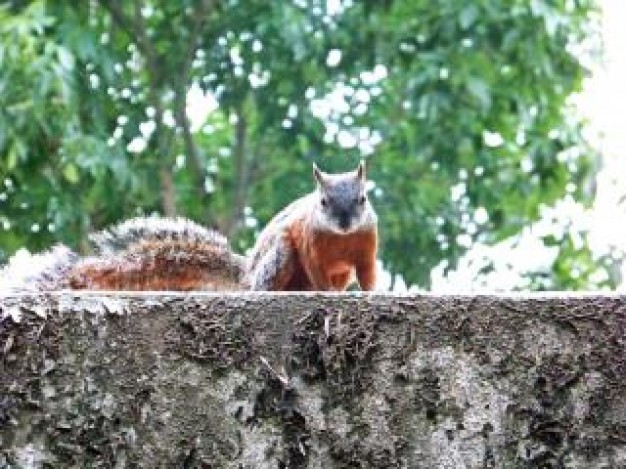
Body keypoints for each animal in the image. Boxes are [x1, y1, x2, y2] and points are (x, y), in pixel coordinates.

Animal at [0, 163, 376, 290]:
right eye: (322, 202)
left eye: (363, 199)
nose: (344, 222)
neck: (341, 239)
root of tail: (246, 277)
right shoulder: (309, 240)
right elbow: (315, 267)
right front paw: (326, 293)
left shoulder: (367, 244)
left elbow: (368, 272)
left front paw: (371, 291)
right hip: (279, 256)